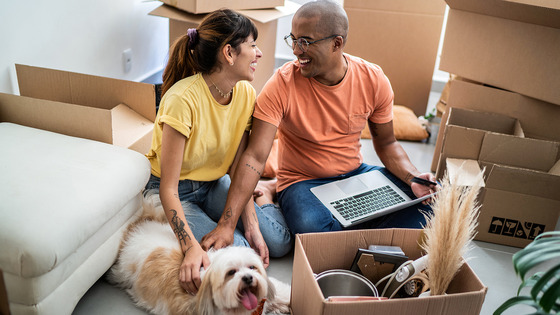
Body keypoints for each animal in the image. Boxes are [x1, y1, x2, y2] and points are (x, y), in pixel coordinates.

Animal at [110, 215, 294, 315]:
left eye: (252, 267)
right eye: (231, 273)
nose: (248, 278)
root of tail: (141, 226)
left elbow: (282, 292)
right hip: (124, 272)